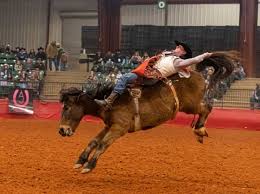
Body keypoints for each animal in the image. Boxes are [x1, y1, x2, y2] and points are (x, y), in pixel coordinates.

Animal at [59, 51, 240, 173]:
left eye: (66, 107)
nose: (61, 130)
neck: (110, 101)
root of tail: (197, 73)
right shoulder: (109, 125)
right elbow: (94, 141)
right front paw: (80, 161)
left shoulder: (119, 128)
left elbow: (103, 144)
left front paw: (89, 166)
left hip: (190, 105)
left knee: (206, 108)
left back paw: (200, 130)